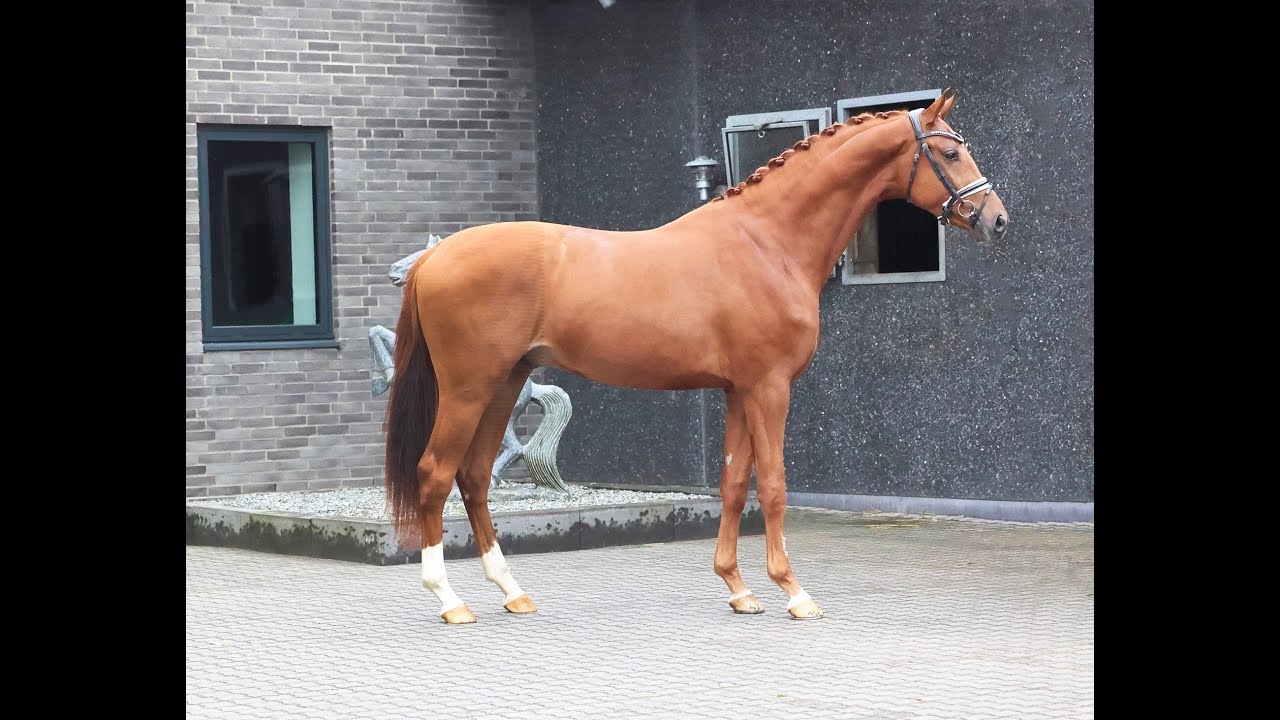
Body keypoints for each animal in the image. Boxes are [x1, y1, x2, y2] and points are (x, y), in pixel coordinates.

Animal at [384, 90, 1009, 623]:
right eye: (950, 151)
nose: (996, 219)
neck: (766, 242)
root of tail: (435, 256)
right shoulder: (769, 388)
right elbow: (773, 484)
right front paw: (794, 592)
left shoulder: (737, 391)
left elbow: (733, 483)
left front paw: (738, 588)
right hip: (468, 389)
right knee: (435, 473)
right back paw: (450, 600)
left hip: (505, 384)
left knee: (473, 477)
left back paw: (512, 592)